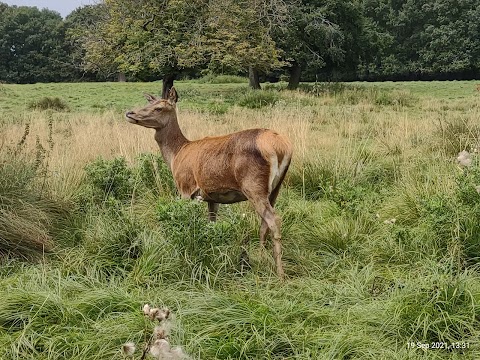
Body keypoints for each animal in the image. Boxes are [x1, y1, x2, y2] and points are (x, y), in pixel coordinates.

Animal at [124, 87, 292, 278]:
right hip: (276, 187)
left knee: (274, 219)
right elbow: (212, 223)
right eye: (148, 103)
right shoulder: (212, 197)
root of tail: (283, 147)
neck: (176, 155)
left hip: (254, 185)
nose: (130, 113)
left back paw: (280, 274)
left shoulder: (185, 187)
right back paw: (262, 257)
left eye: (159, 108)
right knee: (265, 223)